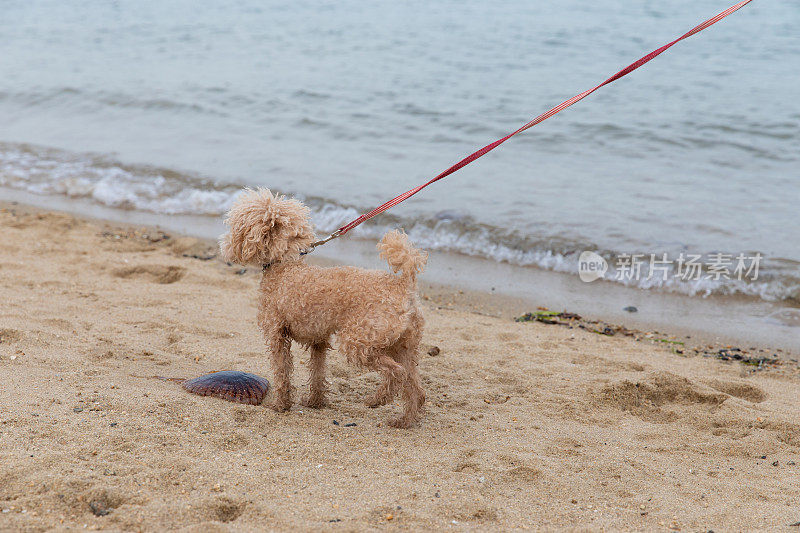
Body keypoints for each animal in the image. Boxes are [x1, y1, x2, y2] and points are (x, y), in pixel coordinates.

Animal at [219, 188, 428, 428]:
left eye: (238, 227)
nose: (226, 245)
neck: (285, 265)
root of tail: (404, 284)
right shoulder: (318, 339)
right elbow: (317, 372)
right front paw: (315, 401)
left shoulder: (276, 334)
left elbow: (281, 372)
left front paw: (281, 405)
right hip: (402, 344)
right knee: (415, 386)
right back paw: (404, 420)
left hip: (360, 341)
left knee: (397, 373)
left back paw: (377, 399)